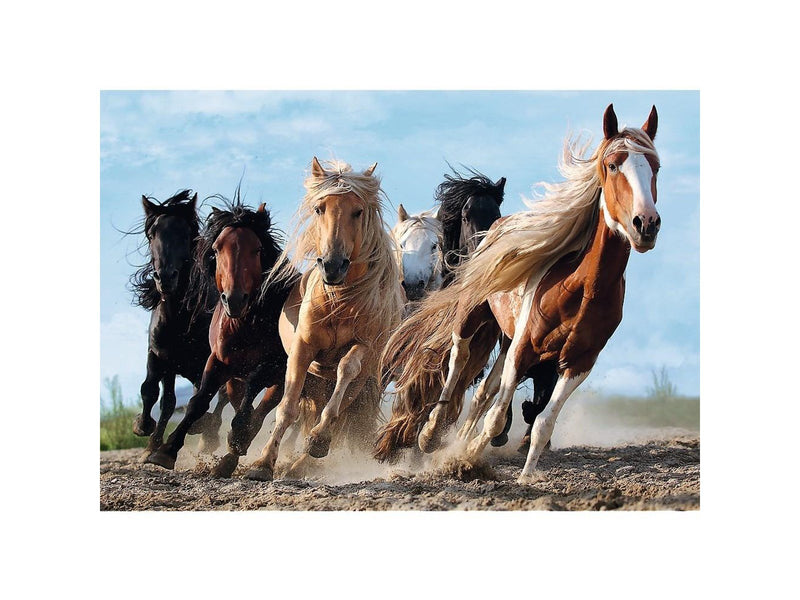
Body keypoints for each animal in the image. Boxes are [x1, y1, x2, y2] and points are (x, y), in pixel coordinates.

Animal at [129, 190, 228, 456]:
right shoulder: (160, 356)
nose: (165, 277)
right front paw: (146, 433)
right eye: (152, 234)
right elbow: (155, 393)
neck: (179, 319)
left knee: (221, 397)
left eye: (186, 233)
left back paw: (208, 435)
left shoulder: (207, 361)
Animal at [145, 194, 296, 478]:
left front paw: (237, 437)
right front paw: (165, 451)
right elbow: (198, 401)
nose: (234, 299)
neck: (246, 324)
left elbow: (252, 394)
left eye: (257, 249)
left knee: (260, 411)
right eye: (216, 250)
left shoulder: (273, 366)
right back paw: (228, 457)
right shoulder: (217, 361)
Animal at [243, 158, 405, 481]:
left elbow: (346, 371)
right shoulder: (303, 350)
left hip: (361, 383)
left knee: (340, 413)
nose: (332, 265)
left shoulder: (363, 347)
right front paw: (262, 463)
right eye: (320, 208)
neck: (340, 301)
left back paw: (304, 460)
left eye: (358, 211)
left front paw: (318, 439)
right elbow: (287, 408)